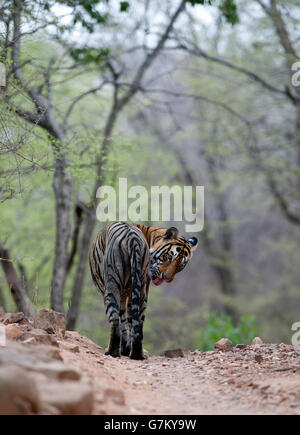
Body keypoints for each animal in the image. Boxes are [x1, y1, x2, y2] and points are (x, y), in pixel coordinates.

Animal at [88, 221, 197, 362]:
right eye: (168, 257)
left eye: (179, 266)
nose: (166, 278)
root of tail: (132, 238)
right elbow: (127, 319)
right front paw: (126, 348)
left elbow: (122, 319)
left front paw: (124, 349)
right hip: (140, 289)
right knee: (138, 323)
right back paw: (137, 354)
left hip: (112, 284)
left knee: (115, 320)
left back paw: (112, 352)